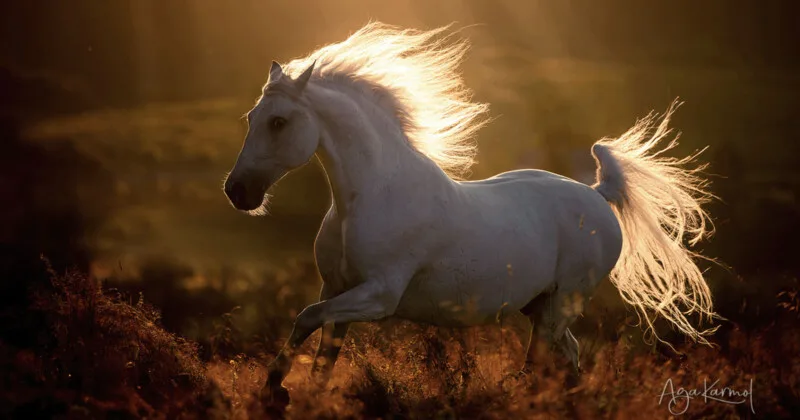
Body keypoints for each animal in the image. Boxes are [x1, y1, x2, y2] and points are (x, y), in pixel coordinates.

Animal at [223, 22, 718, 397]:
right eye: (250, 118)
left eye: (278, 122)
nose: (237, 192)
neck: (371, 197)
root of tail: (597, 194)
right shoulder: (337, 288)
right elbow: (319, 349)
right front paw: (291, 393)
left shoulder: (379, 296)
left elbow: (306, 316)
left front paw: (275, 389)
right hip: (540, 305)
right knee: (570, 355)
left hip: (564, 303)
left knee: (545, 360)